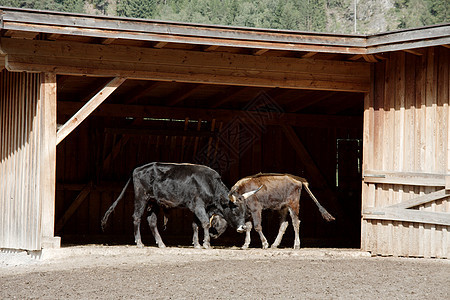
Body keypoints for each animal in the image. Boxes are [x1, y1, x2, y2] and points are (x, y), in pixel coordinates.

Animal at [100, 162, 258, 248]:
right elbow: (204, 223)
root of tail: (138, 169)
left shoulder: (199, 208)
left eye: (245, 211)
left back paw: (161, 243)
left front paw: (197, 244)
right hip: (141, 197)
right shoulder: (198, 206)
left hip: (154, 202)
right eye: (235, 210)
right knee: (136, 218)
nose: (243, 227)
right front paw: (206, 243)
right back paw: (139, 242)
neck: (210, 184)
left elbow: (195, 224)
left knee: (152, 221)